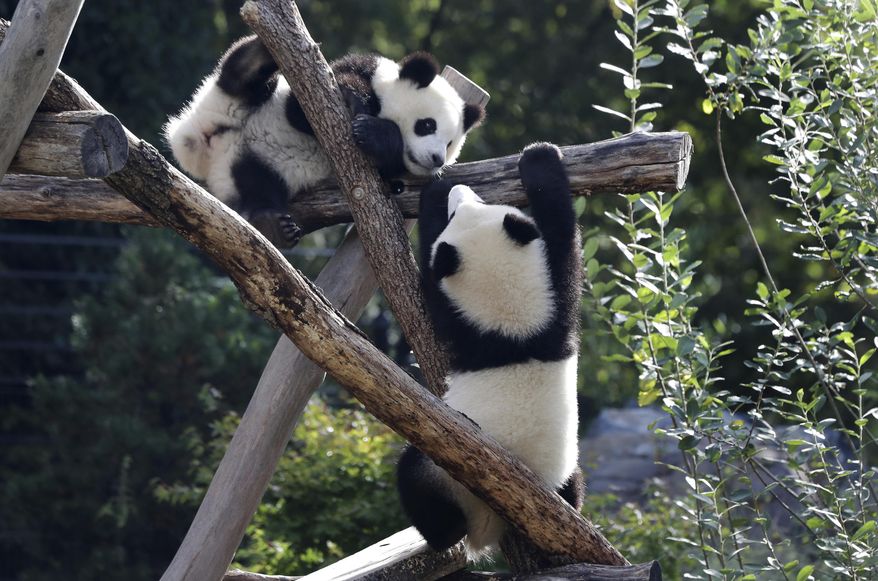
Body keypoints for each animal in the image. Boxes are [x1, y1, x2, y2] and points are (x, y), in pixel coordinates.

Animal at [164, 35, 485, 246]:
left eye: (450, 144)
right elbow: (300, 111)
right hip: (230, 101)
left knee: (258, 187)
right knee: (241, 78)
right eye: (427, 125)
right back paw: (258, 52)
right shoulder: (344, 74)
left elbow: (387, 169)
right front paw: (354, 100)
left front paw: (375, 134)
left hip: (249, 167)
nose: (437, 159)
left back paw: (273, 225)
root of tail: (205, 144)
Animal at [397, 142, 584, 558]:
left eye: (458, 213)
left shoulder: (460, 324)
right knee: (574, 484)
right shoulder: (557, 305)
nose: (459, 191)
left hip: (446, 471)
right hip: (563, 471)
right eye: (476, 202)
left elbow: (430, 291)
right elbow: (563, 235)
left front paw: (434, 193)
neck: (512, 324)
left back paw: (444, 534)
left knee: (413, 474)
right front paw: (541, 163)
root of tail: (489, 524)